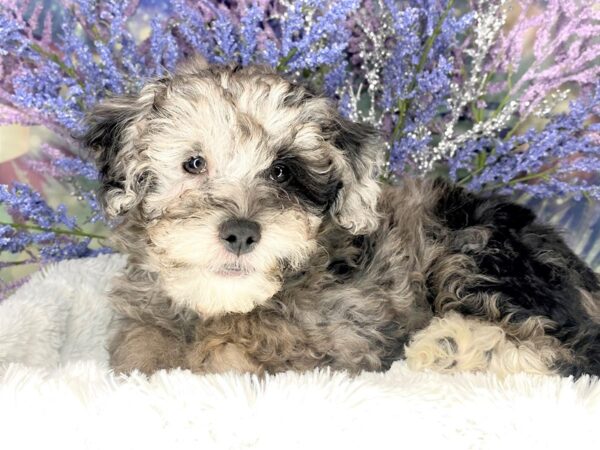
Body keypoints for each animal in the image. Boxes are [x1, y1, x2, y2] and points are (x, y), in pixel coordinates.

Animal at [83, 58, 600, 378]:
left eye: (283, 171)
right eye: (193, 164)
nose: (242, 233)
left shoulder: (341, 342)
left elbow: (234, 360)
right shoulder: (146, 321)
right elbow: (142, 349)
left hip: (476, 252)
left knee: (564, 352)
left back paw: (452, 348)